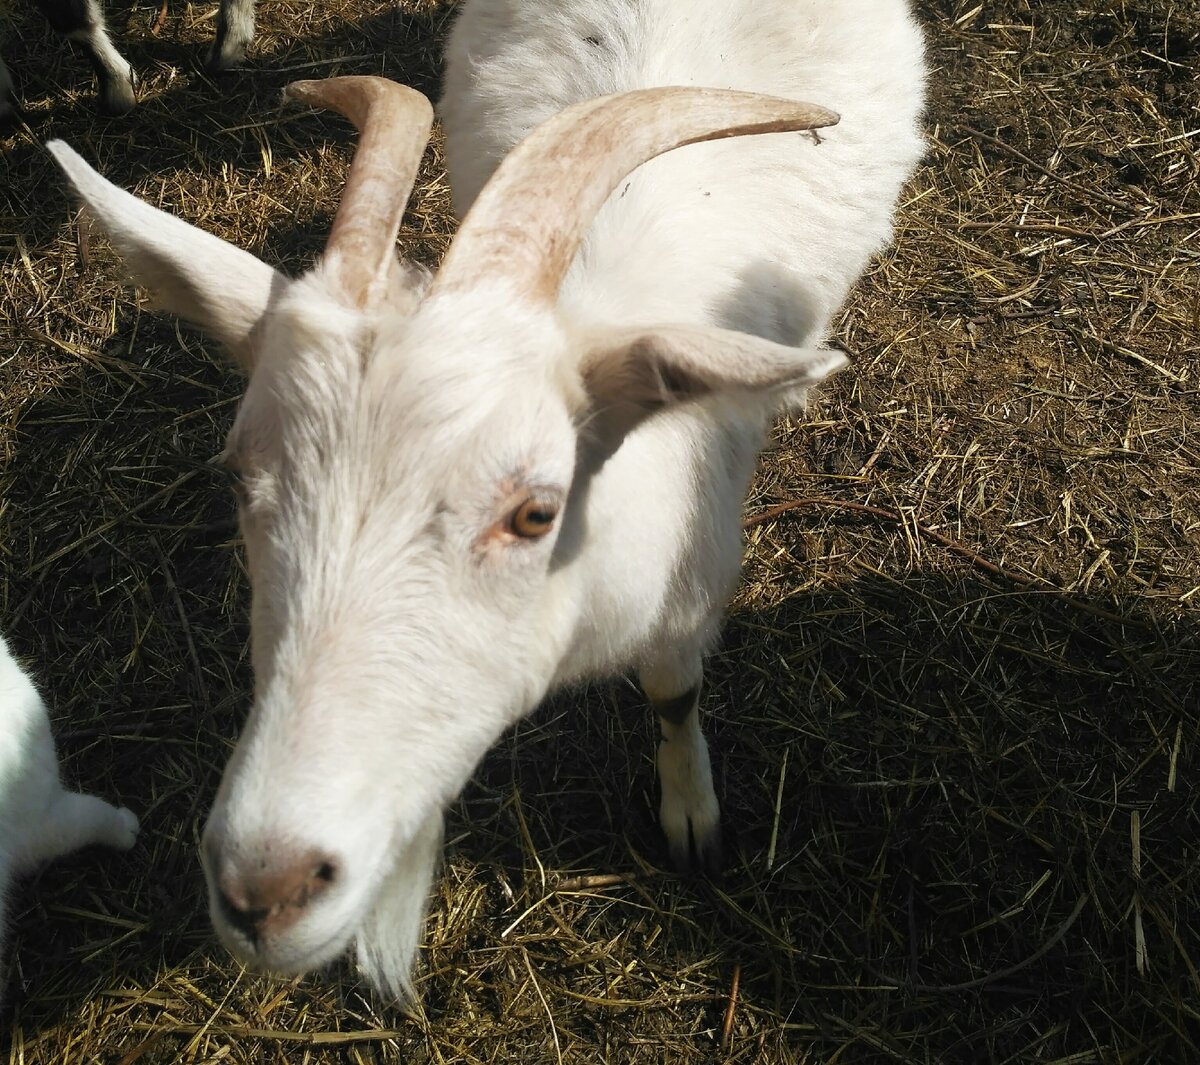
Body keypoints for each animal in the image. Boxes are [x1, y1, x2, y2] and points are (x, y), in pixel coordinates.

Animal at [46, 0, 926, 1004]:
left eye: (535, 513)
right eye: (236, 476)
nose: (266, 887)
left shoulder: (688, 583)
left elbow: (674, 693)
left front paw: (691, 814)